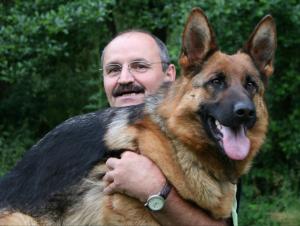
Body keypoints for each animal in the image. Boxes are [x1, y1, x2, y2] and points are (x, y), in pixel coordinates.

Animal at [0, 7, 276, 225]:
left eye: (250, 85)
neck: (176, 143)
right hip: (22, 219)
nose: (245, 112)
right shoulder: (131, 215)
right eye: (217, 81)